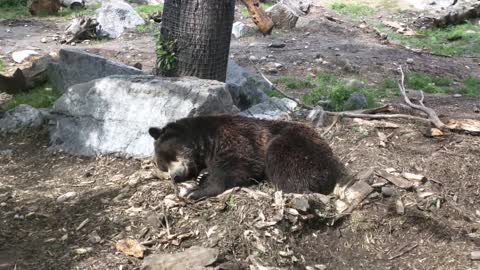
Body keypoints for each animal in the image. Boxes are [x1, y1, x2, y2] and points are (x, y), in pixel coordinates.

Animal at [148, 114, 346, 200]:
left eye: (170, 156)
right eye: (163, 167)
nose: (175, 176)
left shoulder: (233, 136)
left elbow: (239, 163)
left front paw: (195, 191)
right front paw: (201, 176)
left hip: (298, 145)